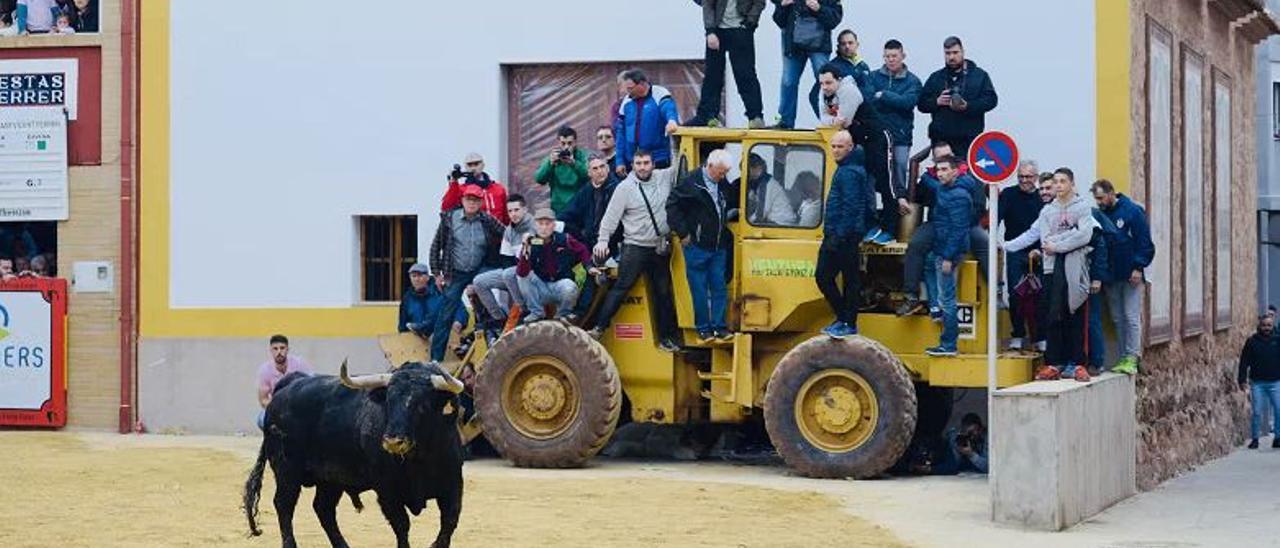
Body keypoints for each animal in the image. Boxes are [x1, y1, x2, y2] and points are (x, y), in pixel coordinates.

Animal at [244, 358, 465, 548]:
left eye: (422, 404)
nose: (392, 441)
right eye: (389, 401)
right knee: (284, 504)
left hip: (330, 479)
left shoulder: (453, 486)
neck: (418, 459)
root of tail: (290, 384)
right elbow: (402, 525)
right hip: (287, 471)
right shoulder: (387, 491)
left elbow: (449, 524)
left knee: (323, 508)